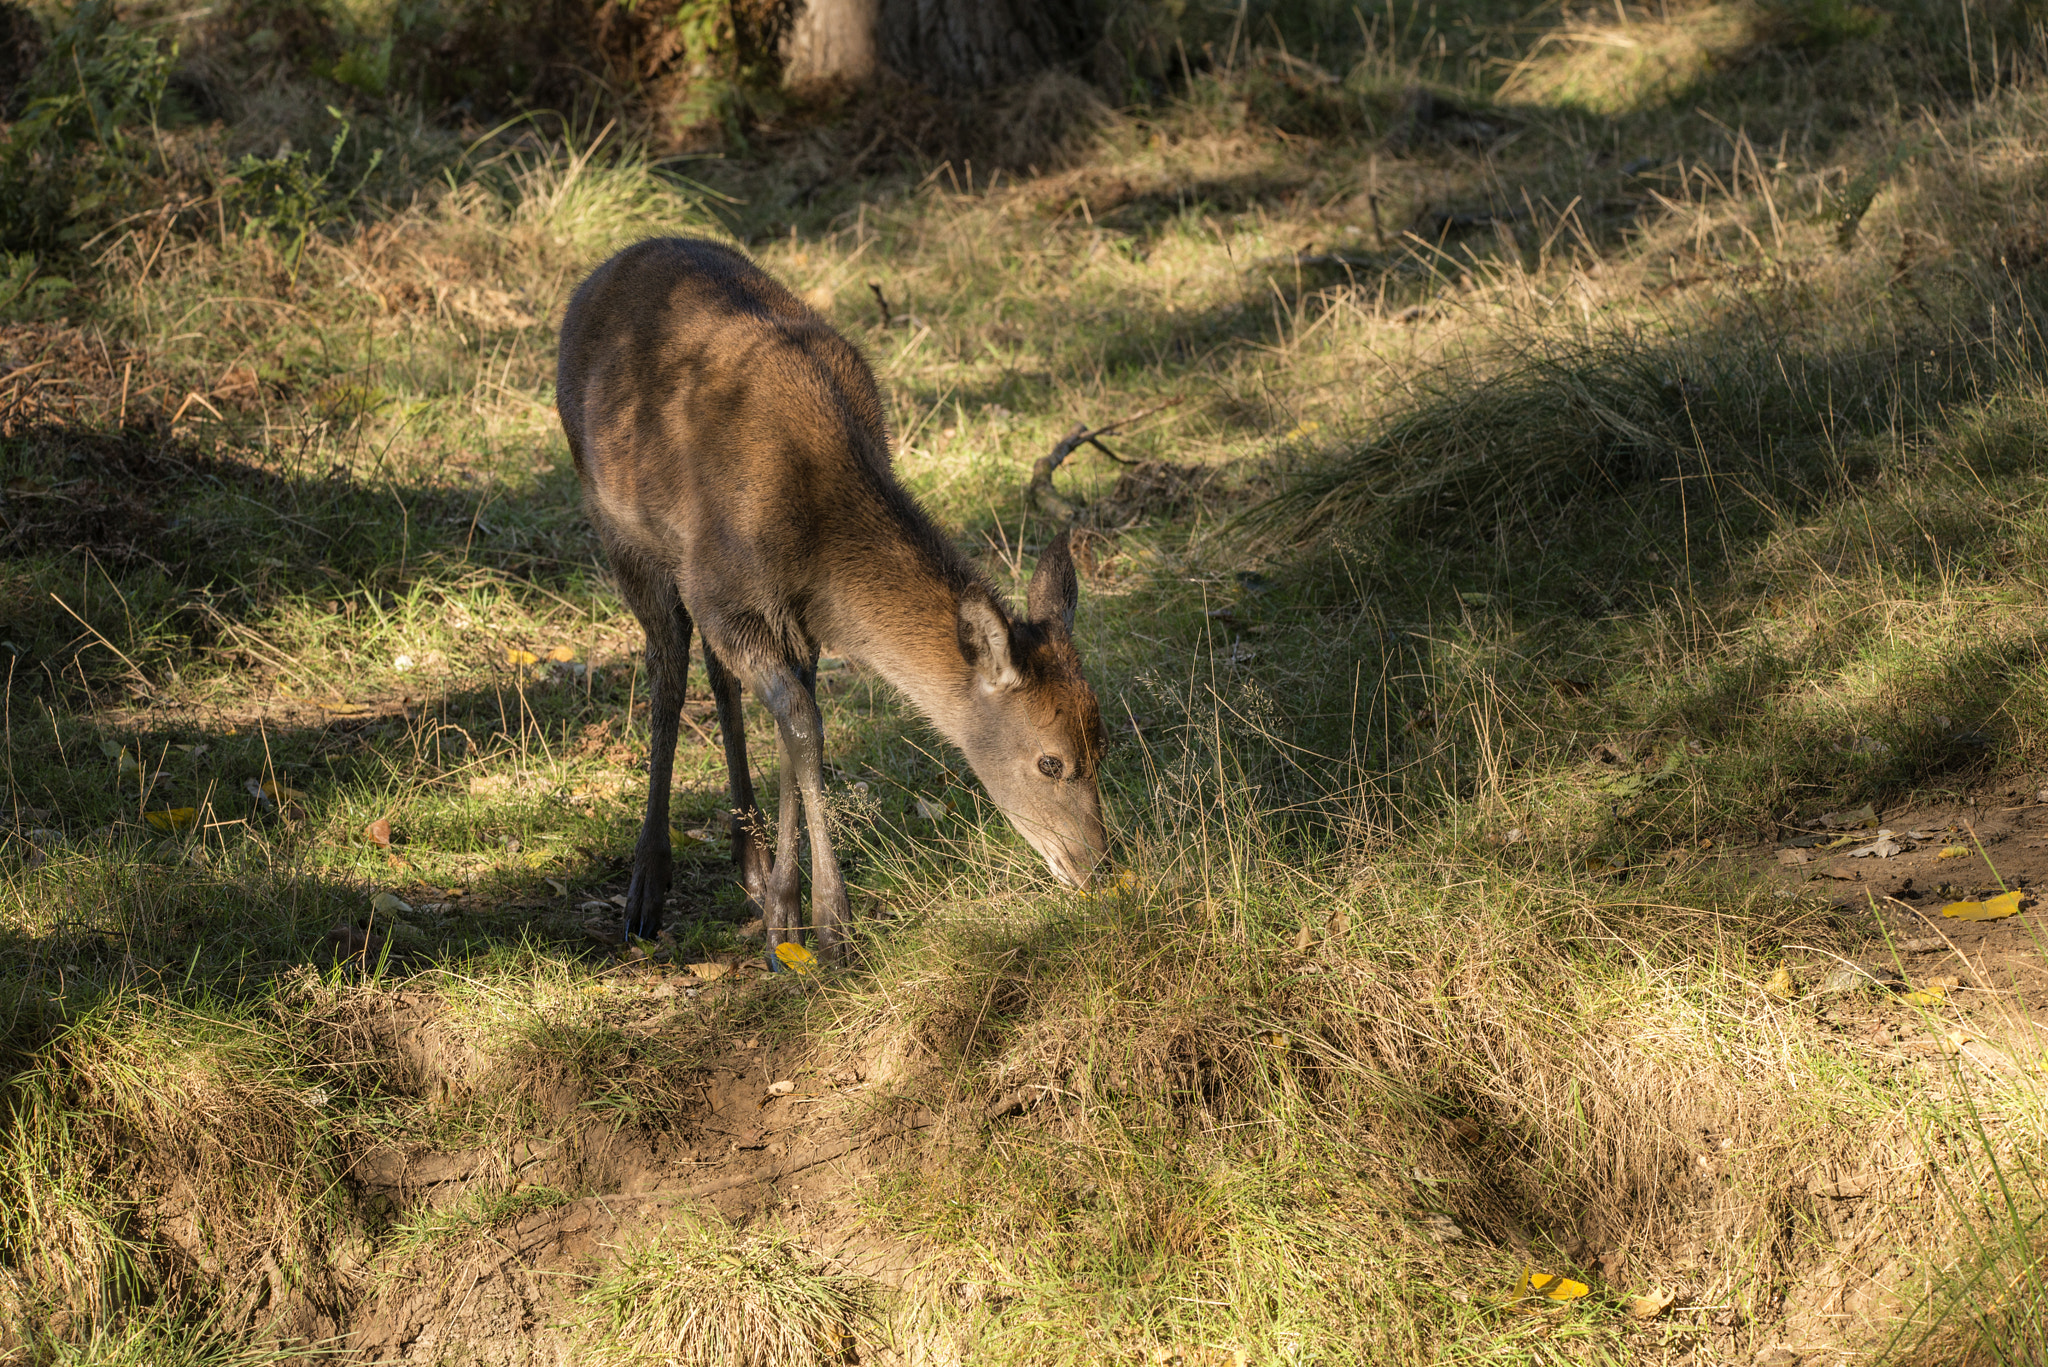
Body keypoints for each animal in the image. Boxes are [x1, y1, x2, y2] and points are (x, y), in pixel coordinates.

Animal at [557, 237, 1105, 963]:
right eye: (1049, 760)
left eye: (1103, 742)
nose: (1097, 865)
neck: (812, 525)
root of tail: (605, 268)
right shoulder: (726, 594)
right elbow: (803, 725)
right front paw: (830, 927)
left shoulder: (797, 618)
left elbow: (798, 729)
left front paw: (783, 917)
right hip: (618, 527)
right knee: (667, 670)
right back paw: (646, 890)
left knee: (717, 678)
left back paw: (749, 865)